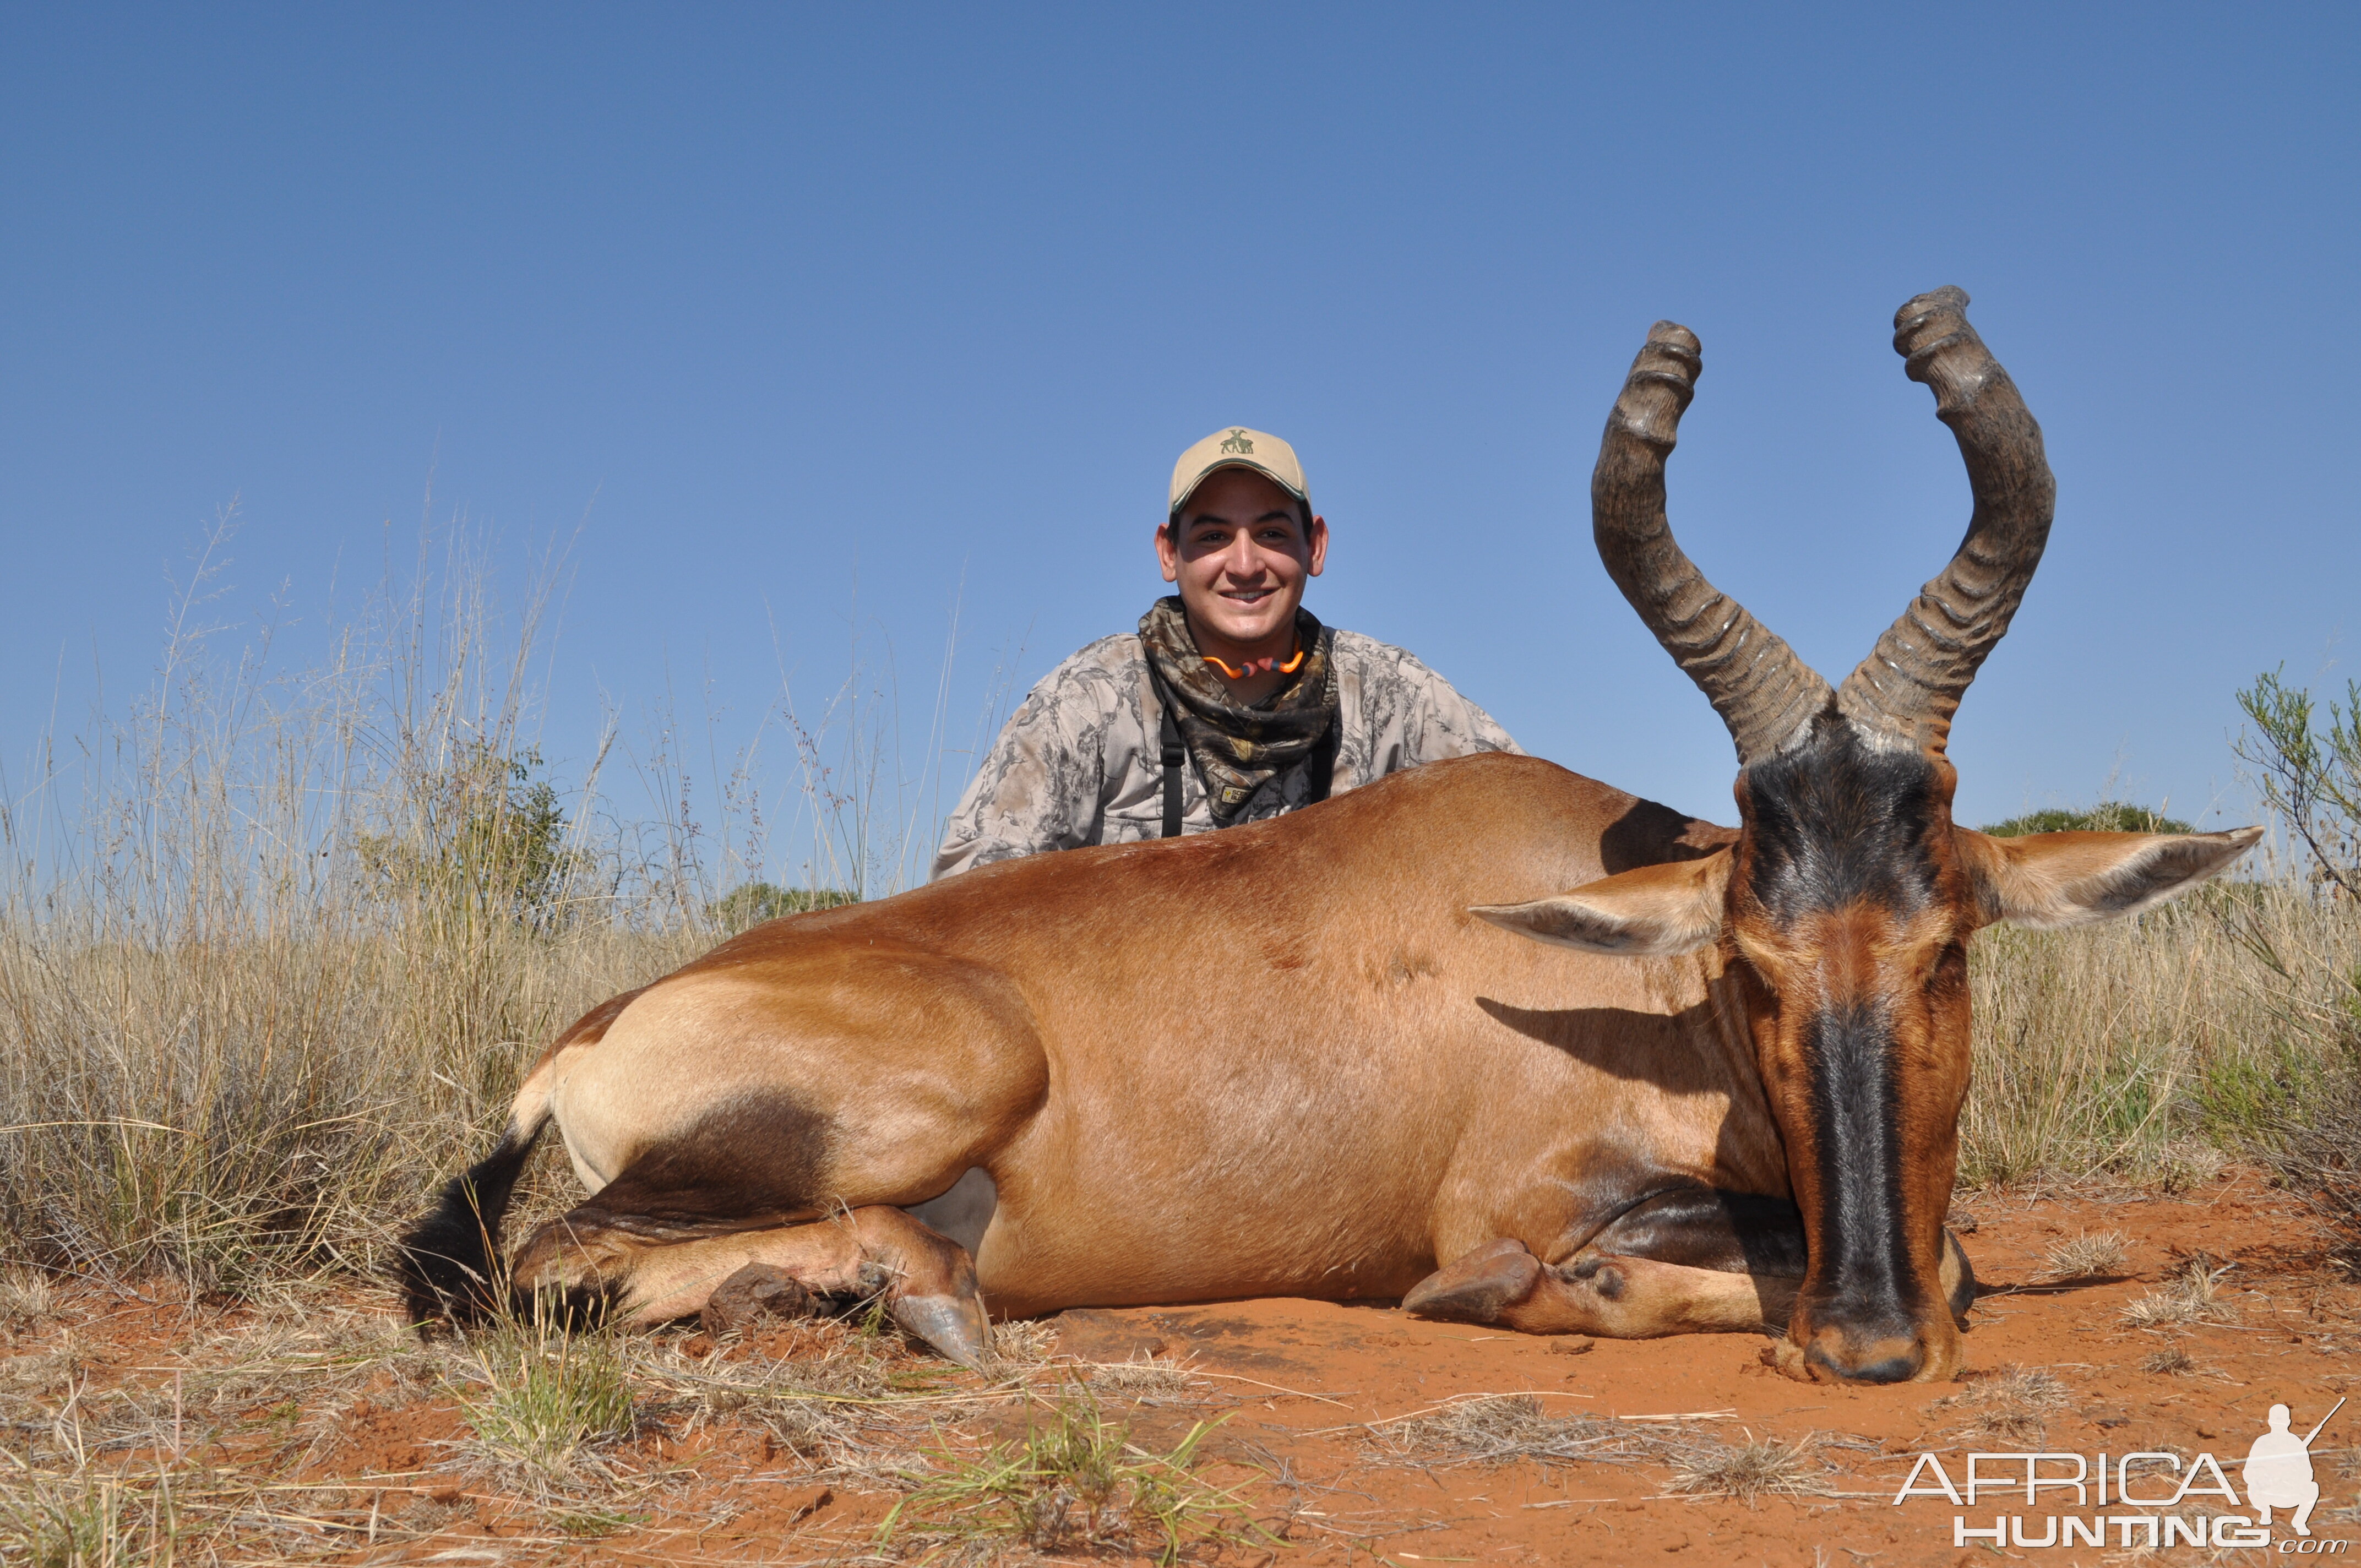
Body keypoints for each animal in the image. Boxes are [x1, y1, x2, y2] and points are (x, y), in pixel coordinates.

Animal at [396, 284, 2257, 1389]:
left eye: (1950, 946)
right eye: (1749, 955)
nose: (1868, 1345)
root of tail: (589, 1032)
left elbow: (1954, 1243)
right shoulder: (1515, 1206)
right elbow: (1677, 1260)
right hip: (930, 1087)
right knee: (546, 1259)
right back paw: (909, 1287)